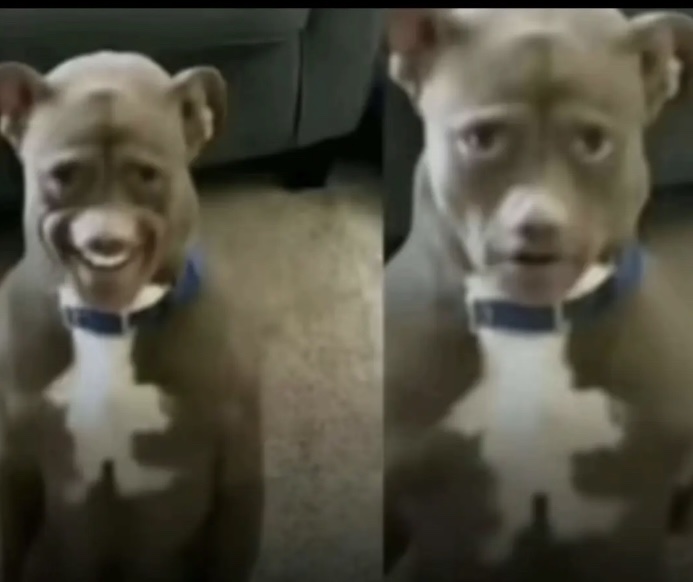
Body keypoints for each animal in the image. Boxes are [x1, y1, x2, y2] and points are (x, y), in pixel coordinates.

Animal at [0, 52, 263, 581]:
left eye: (147, 174)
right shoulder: (11, 467)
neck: (109, 324)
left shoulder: (240, 479)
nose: (106, 241)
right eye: (63, 175)